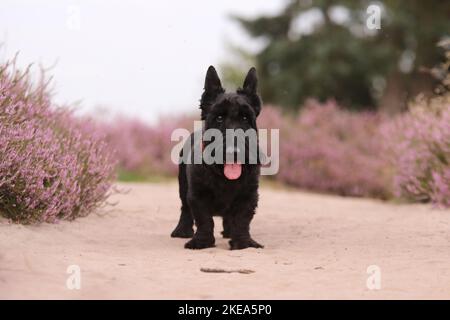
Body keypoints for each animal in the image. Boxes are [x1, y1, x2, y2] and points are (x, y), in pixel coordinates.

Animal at [171, 65, 264, 250]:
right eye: (219, 117)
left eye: (245, 118)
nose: (233, 151)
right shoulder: (197, 194)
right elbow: (204, 220)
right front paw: (201, 242)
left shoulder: (248, 196)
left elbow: (242, 220)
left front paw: (243, 242)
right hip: (182, 186)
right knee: (185, 209)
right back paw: (182, 230)